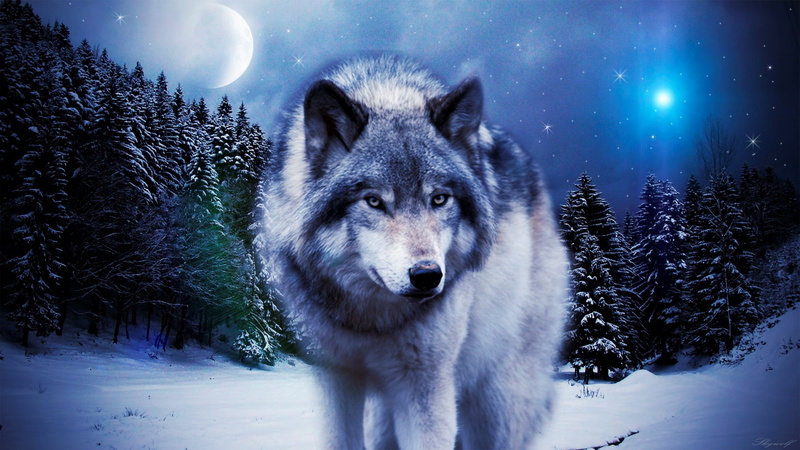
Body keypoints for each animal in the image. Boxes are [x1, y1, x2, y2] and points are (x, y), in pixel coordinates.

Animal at [261, 55, 567, 449]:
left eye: (439, 199)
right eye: (374, 201)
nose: (427, 275)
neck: (370, 321)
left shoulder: (425, 385)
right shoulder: (334, 375)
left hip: (496, 400)